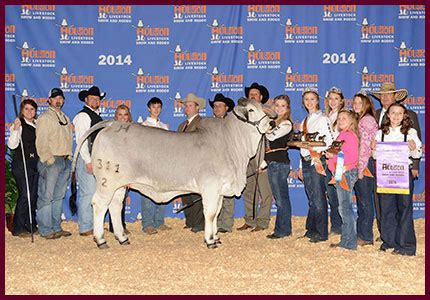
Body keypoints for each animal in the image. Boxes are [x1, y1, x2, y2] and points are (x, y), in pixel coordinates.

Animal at [70, 97, 276, 247]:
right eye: (251, 110)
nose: (272, 124)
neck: (231, 143)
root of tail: (112, 124)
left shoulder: (219, 191)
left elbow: (216, 212)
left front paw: (216, 237)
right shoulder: (210, 187)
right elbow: (210, 213)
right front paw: (210, 240)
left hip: (120, 185)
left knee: (114, 205)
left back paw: (122, 238)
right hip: (106, 182)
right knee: (99, 204)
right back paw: (100, 240)